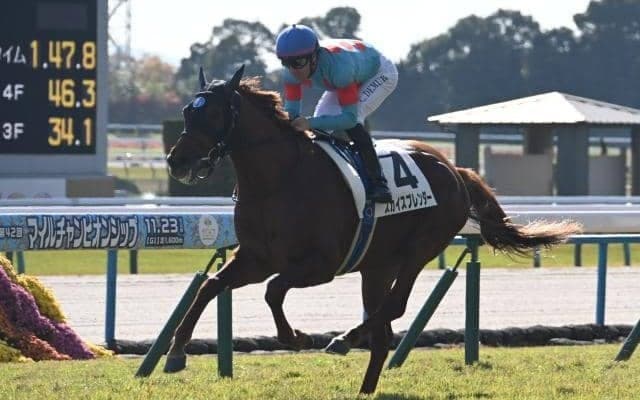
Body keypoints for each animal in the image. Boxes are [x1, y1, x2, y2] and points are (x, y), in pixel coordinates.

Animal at [164, 65, 582, 394]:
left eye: (213, 114)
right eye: (186, 111)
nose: (177, 161)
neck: (279, 180)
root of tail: (455, 169)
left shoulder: (319, 265)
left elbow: (273, 291)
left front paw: (296, 337)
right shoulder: (256, 258)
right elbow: (209, 286)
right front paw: (176, 353)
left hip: (420, 249)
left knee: (392, 309)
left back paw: (344, 339)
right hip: (376, 266)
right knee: (382, 332)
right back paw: (363, 383)